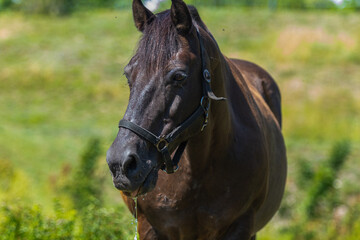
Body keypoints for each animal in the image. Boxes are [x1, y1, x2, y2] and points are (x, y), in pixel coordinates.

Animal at [106, 0, 286, 239]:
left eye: (179, 76)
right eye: (128, 74)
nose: (121, 164)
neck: (198, 169)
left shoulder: (241, 226)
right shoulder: (148, 226)